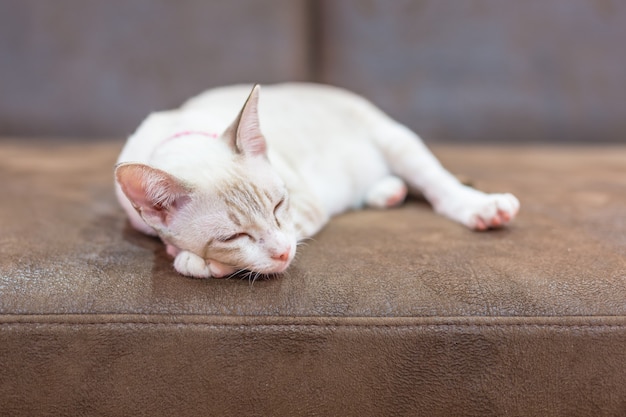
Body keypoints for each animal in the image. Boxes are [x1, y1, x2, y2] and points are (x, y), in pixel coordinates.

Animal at [114, 83, 520, 278]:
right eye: (234, 236)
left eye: (279, 206)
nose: (283, 253)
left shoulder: (304, 207)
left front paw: (192, 260)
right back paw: (388, 191)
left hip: (397, 141)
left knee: (441, 187)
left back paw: (482, 208)